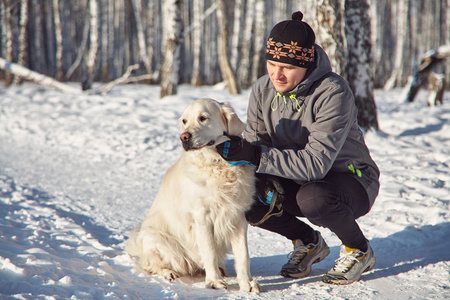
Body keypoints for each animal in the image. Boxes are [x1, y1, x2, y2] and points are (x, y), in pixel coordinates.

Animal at [126, 98, 260, 292]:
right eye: (184, 121)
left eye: (203, 118)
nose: (184, 137)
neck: (217, 164)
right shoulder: (202, 217)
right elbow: (209, 252)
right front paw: (214, 281)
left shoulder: (238, 218)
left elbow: (243, 256)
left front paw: (247, 284)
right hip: (158, 239)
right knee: (150, 263)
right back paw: (169, 273)